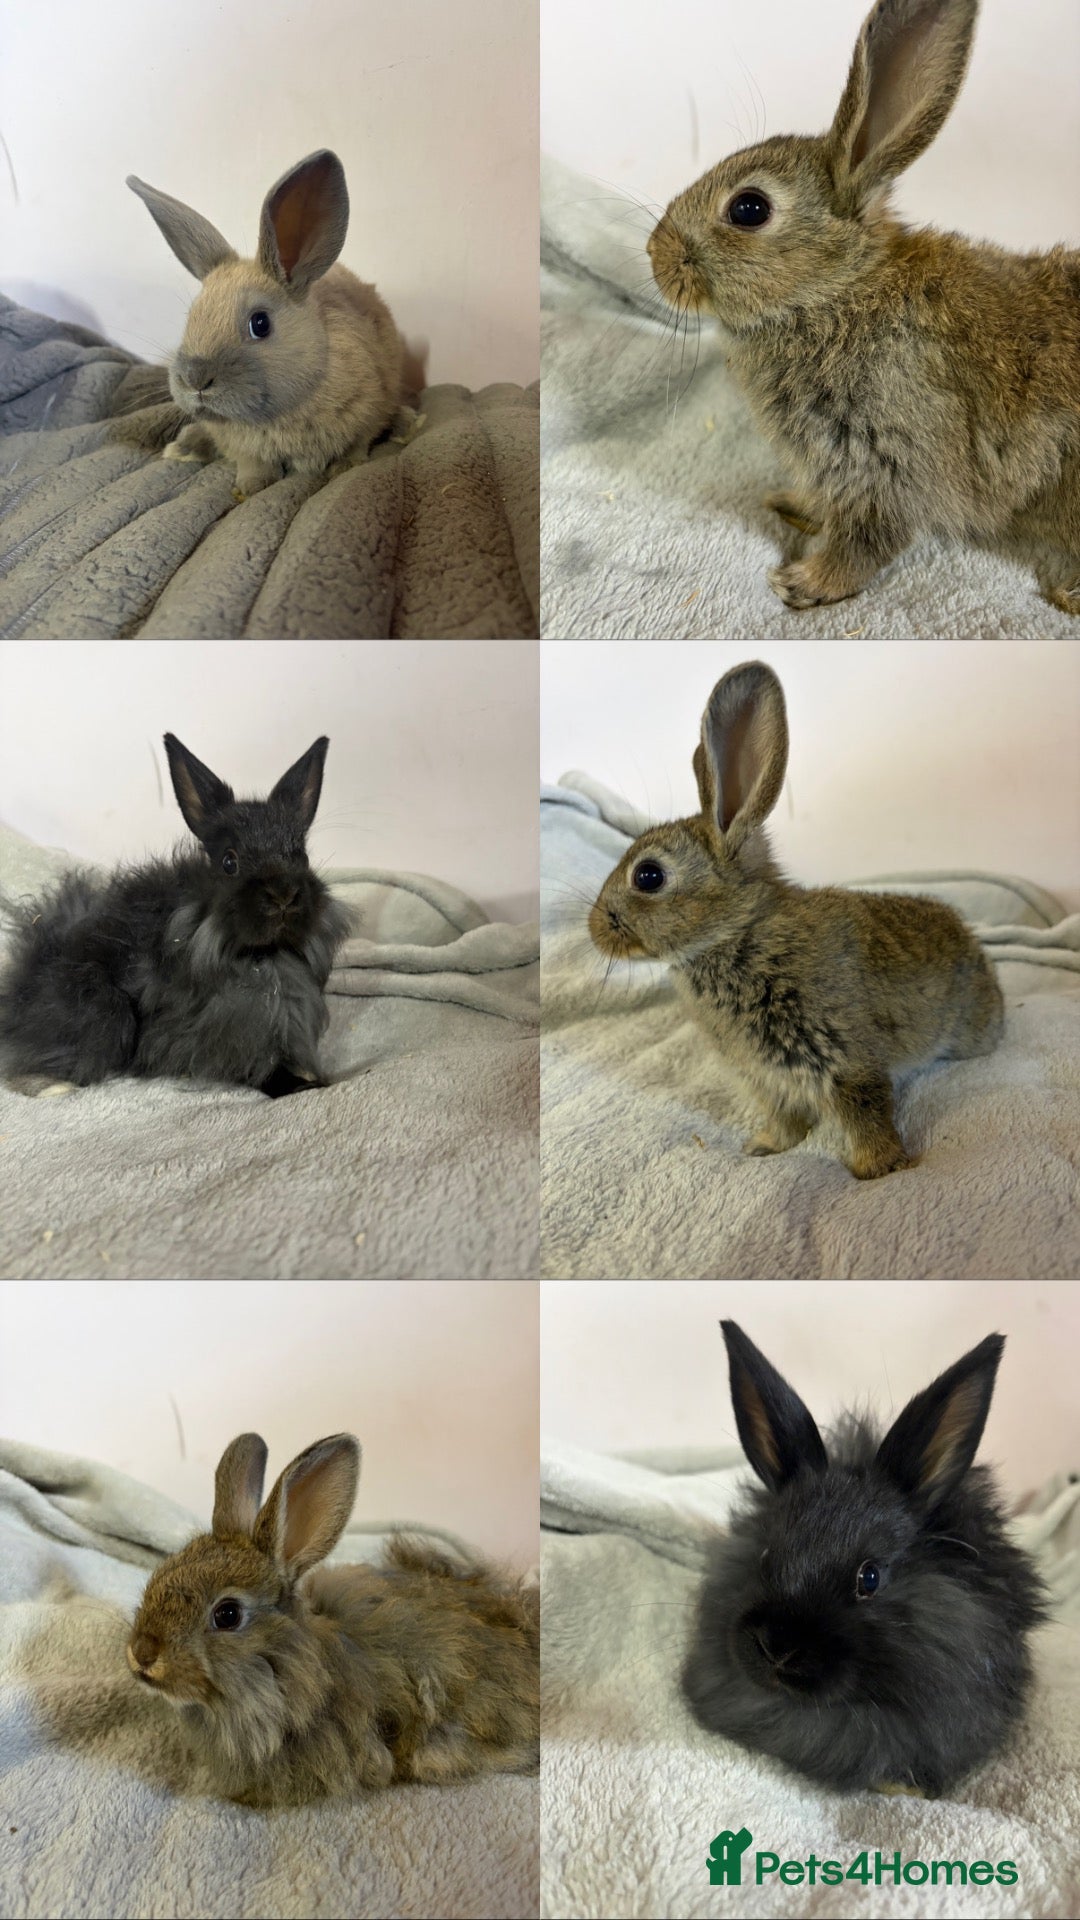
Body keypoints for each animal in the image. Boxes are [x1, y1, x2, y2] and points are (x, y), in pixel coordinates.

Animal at [0, 734, 352, 1099]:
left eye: (302, 856)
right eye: (229, 862)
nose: (283, 896)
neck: (265, 958)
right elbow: (258, 1070)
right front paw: (298, 1084)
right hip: (103, 1013)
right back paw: (52, 1086)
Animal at [127, 149, 408, 499]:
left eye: (260, 323)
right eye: (191, 317)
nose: (194, 379)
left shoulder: (368, 411)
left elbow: (357, 445)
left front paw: (345, 468)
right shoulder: (243, 449)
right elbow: (254, 464)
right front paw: (250, 488)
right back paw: (183, 447)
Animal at [588, 659, 1003, 1178]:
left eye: (648, 876)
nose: (594, 930)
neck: (738, 933)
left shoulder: (842, 1055)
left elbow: (865, 1110)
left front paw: (879, 1169)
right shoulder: (765, 1076)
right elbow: (783, 1115)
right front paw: (764, 1146)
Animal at [647, 0, 1080, 615]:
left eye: (749, 209)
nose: (655, 255)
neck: (838, 290)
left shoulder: (890, 453)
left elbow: (869, 538)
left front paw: (803, 582)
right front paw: (792, 505)